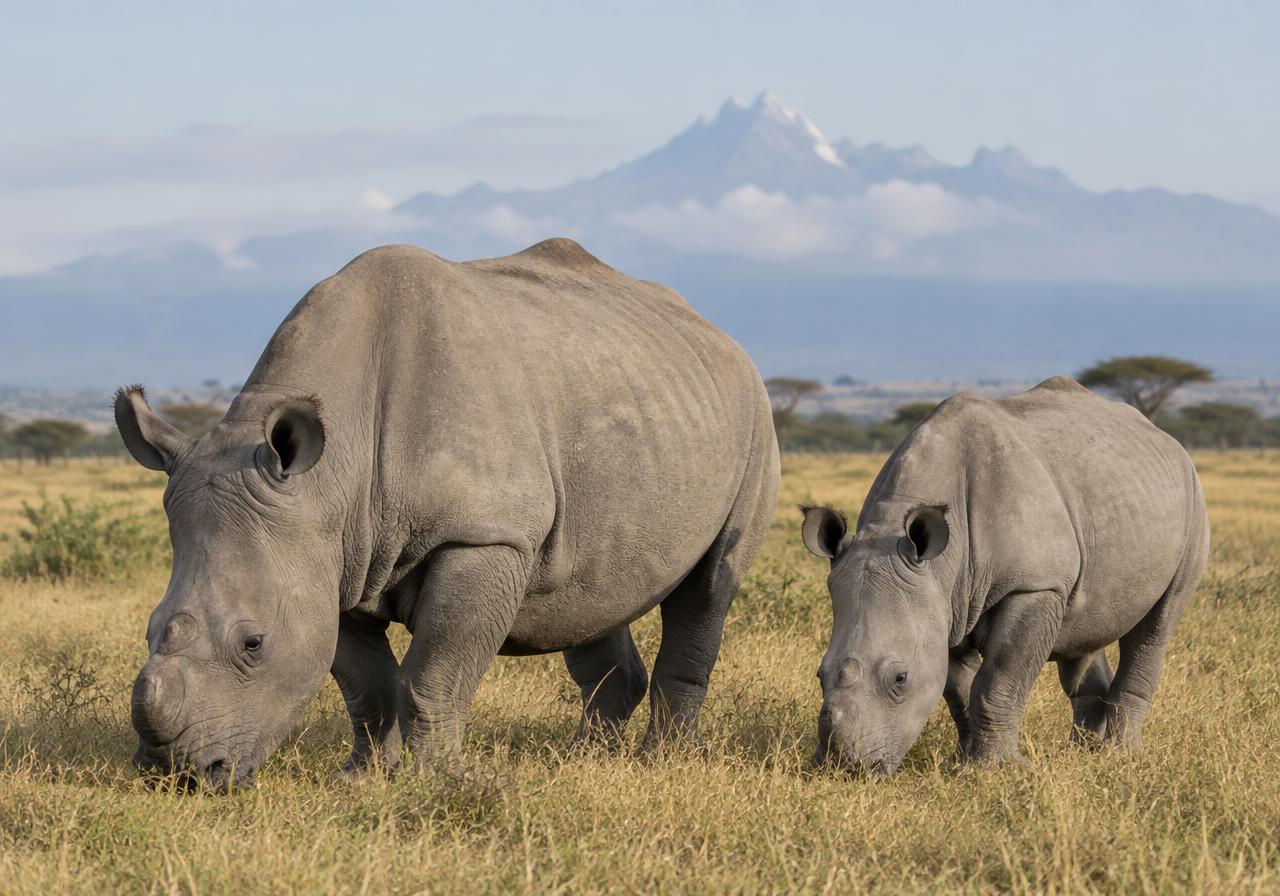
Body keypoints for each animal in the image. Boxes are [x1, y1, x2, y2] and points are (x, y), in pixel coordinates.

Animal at [117, 238, 780, 789]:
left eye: (253, 644)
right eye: (148, 628)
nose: (178, 776)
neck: (328, 481)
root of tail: (722, 337)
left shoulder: (484, 535)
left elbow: (436, 674)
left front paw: (442, 783)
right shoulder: (333, 558)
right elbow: (367, 684)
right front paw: (360, 781)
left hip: (755, 420)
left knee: (709, 587)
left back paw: (661, 764)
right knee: (589, 591)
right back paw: (582, 763)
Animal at [800, 377, 1209, 776]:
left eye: (900, 679)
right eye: (819, 674)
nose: (844, 768)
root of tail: (1166, 438)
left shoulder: (1033, 586)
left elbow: (997, 680)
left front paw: (994, 771)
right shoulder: (944, 601)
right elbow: (959, 690)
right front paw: (963, 763)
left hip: (1192, 498)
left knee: (1157, 624)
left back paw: (1120, 757)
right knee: (1086, 631)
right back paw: (1083, 754)